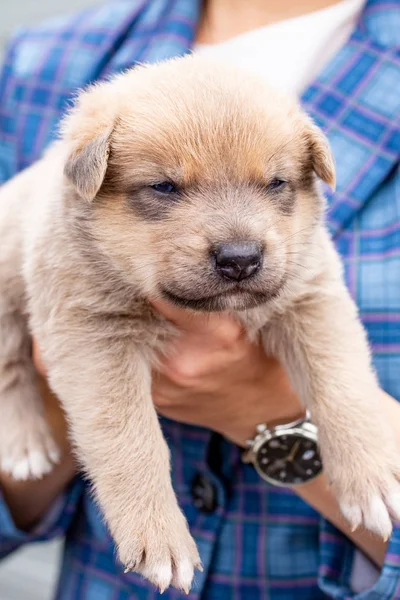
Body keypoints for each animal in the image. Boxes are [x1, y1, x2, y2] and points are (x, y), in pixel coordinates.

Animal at [0, 55, 400, 592]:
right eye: (164, 187)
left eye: (276, 183)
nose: (240, 259)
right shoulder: (92, 334)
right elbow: (131, 440)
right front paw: (160, 539)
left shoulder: (313, 297)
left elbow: (344, 386)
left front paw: (371, 478)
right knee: (10, 366)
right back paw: (24, 444)